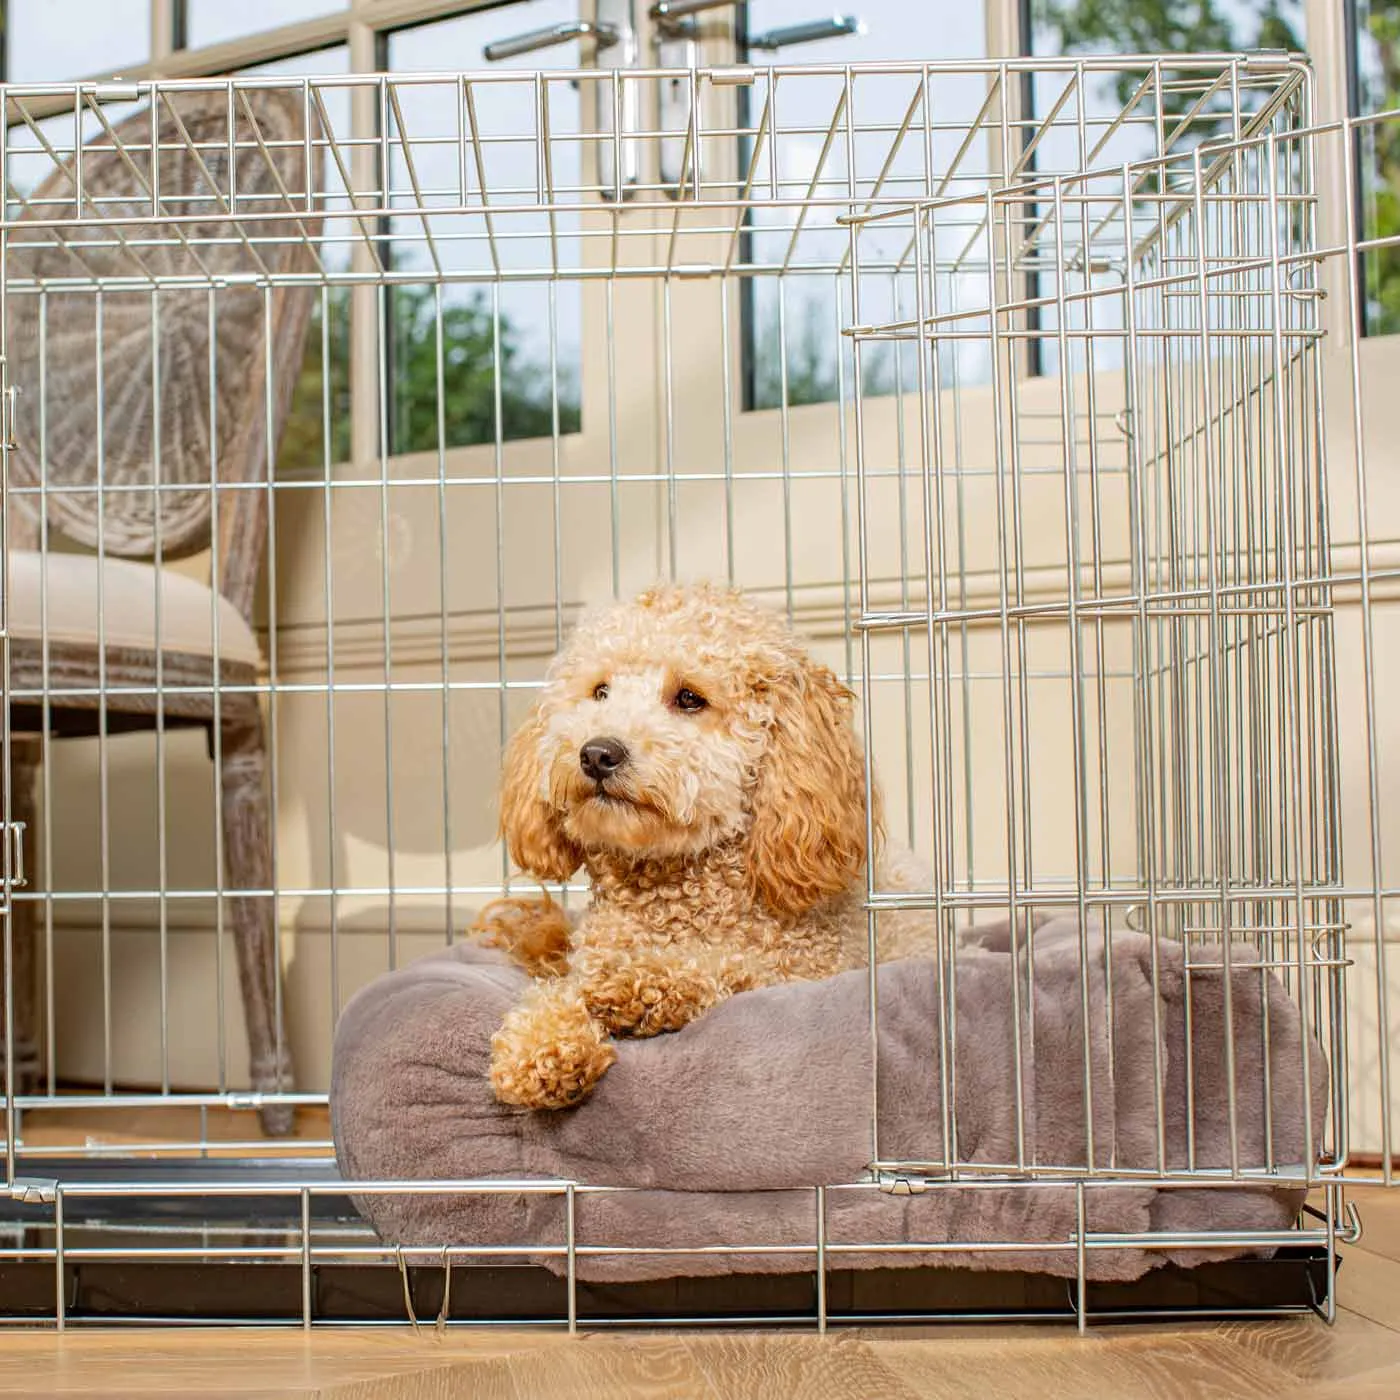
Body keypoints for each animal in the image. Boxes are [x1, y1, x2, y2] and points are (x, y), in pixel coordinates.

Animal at [478, 576, 929, 1103]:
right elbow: (558, 991)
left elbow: (723, 966)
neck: (672, 897)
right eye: (600, 692)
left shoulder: (800, 968)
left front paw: (639, 983)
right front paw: (542, 1043)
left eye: (689, 698)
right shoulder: (584, 960)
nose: (597, 753)